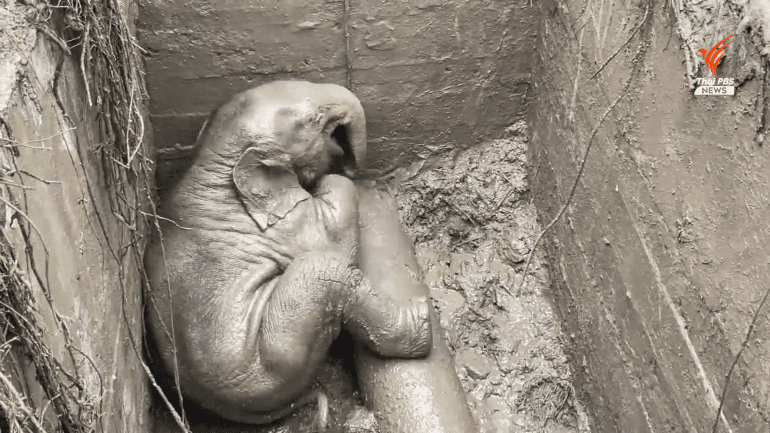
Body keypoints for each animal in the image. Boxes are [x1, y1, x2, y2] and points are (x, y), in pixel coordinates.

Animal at [144, 81, 433, 424]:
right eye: (312, 120)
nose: (352, 162)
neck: (212, 159)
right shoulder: (288, 224)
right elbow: (335, 210)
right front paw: (336, 176)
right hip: (284, 348)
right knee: (324, 272)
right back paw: (423, 319)